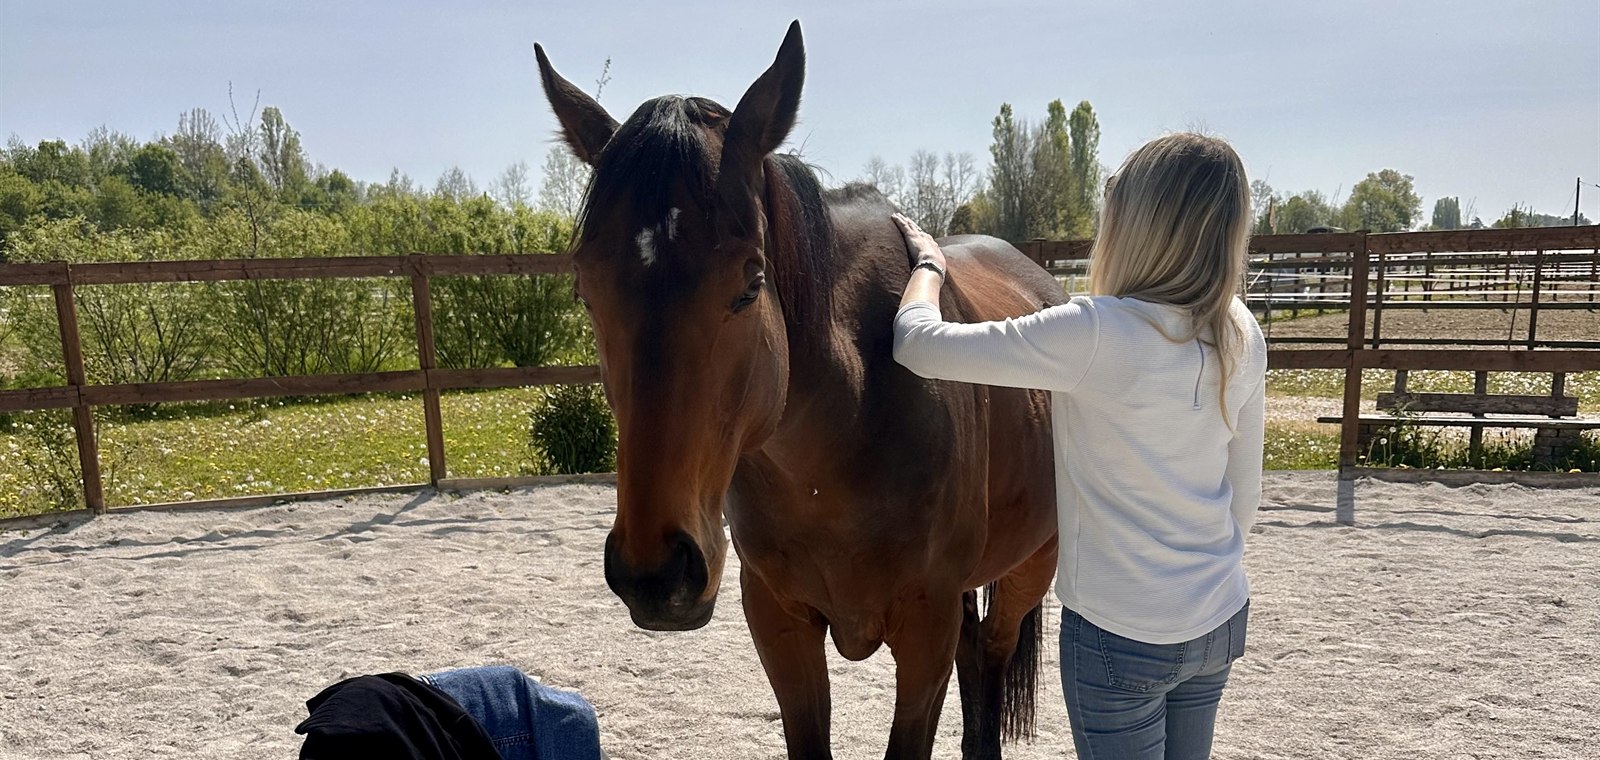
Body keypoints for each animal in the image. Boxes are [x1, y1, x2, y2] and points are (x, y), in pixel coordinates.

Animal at [535, 21, 1065, 759]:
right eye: (585, 288)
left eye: (751, 282)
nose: (655, 572)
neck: (849, 428)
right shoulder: (779, 622)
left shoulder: (924, 631)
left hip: (1032, 566)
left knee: (989, 650)